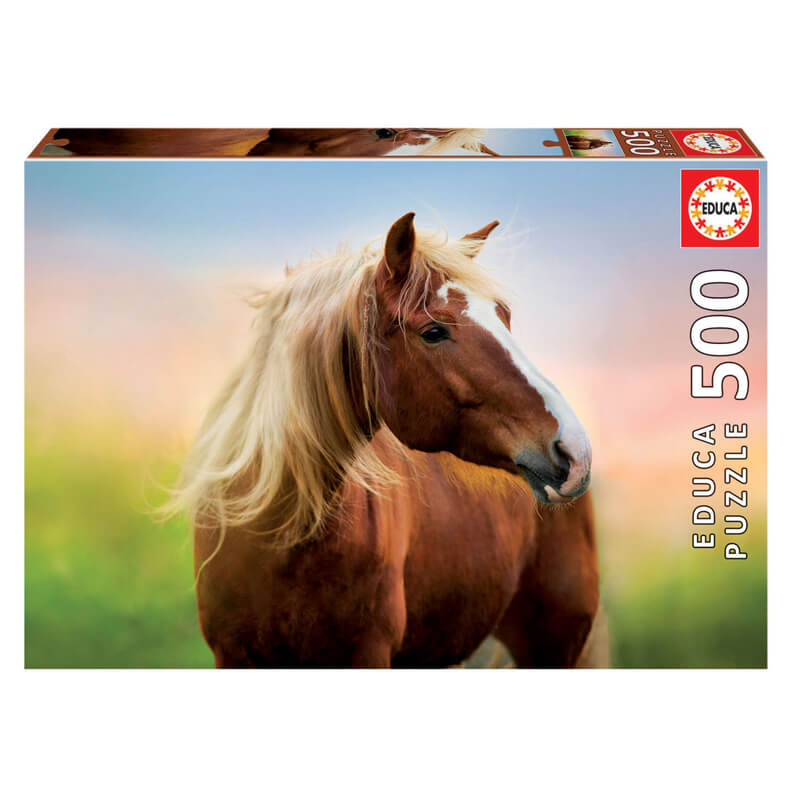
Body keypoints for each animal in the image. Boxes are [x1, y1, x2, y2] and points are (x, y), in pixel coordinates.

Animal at [174, 213, 599, 667]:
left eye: (504, 316)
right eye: (433, 331)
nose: (574, 449)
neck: (281, 537)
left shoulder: (368, 652)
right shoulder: (232, 653)